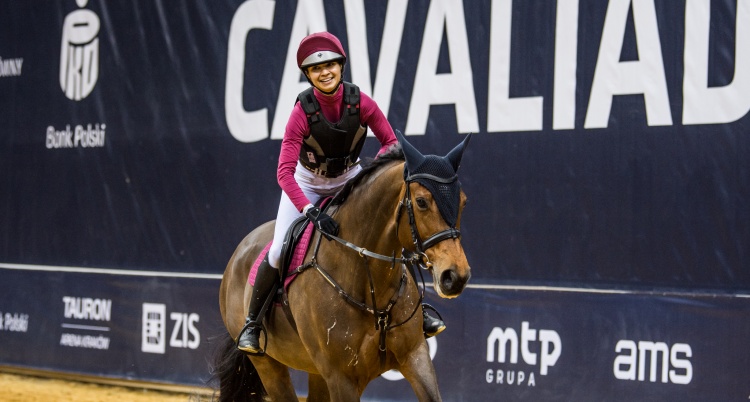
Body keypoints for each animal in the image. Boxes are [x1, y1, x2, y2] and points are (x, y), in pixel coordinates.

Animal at [217, 133, 472, 402]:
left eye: (463, 202)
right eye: (421, 202)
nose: (456, 276)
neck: (370, 286)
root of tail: (240, 251)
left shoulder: (415, 356)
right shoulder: (343, 378)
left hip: (315, 371)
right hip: (269, 366)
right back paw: (250, 335)